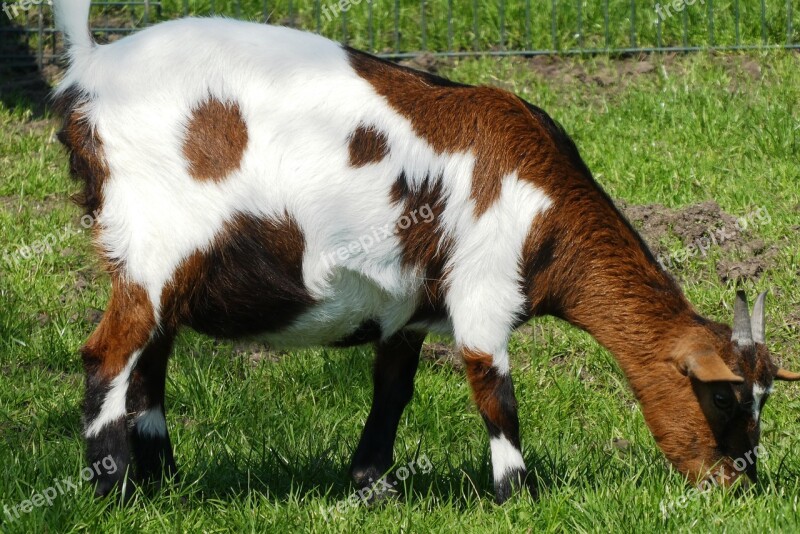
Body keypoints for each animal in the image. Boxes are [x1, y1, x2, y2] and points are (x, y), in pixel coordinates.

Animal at [53, 1, 796, 502]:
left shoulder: (405, 305)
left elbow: (394, 389)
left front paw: (370, 486)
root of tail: (93, 70)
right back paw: (116, 492)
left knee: (149, 364)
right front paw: (518, 496)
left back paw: (165, 484)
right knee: (107, 358)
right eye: (725, 398)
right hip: (154, 248)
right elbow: (495, 392)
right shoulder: (483, 293)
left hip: (168, 273)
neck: (542, 205)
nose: (738, 484)